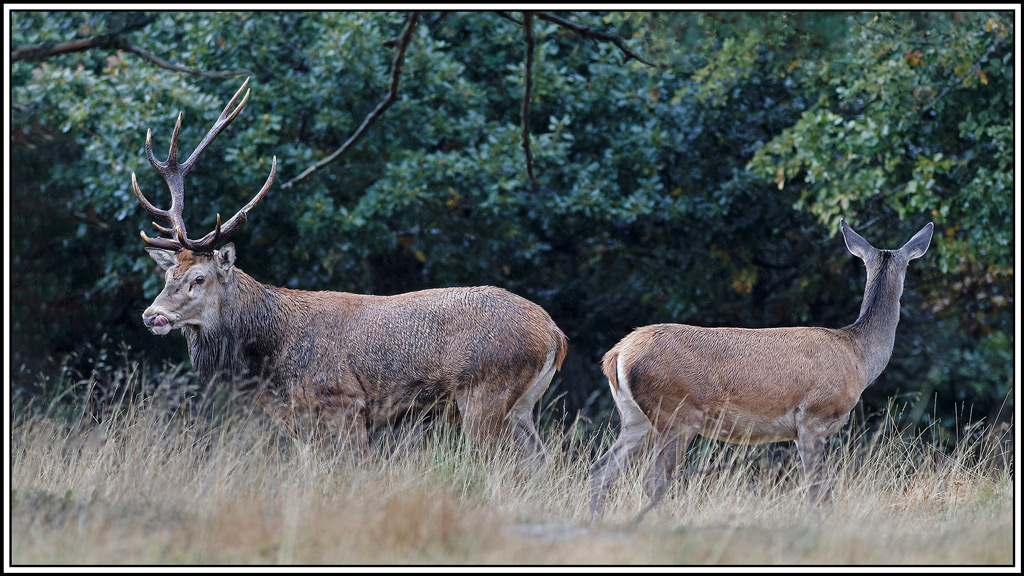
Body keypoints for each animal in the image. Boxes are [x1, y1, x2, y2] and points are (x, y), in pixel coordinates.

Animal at [132, 79, 568, 471]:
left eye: (199, 278)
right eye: (168, 276)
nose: (152, 315)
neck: (269, 359)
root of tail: (554, 334)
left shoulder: (342, 400)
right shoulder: (299, 420)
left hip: (483, 390)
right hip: (520, 406)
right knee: (542, 462)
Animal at [588, 219, 934, 521]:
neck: (858, 356)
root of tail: (617, 354)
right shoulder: (814, 416)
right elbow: (818, 490)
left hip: (636, 417)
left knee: (601, 469)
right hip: (679, 413)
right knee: (653, 478)